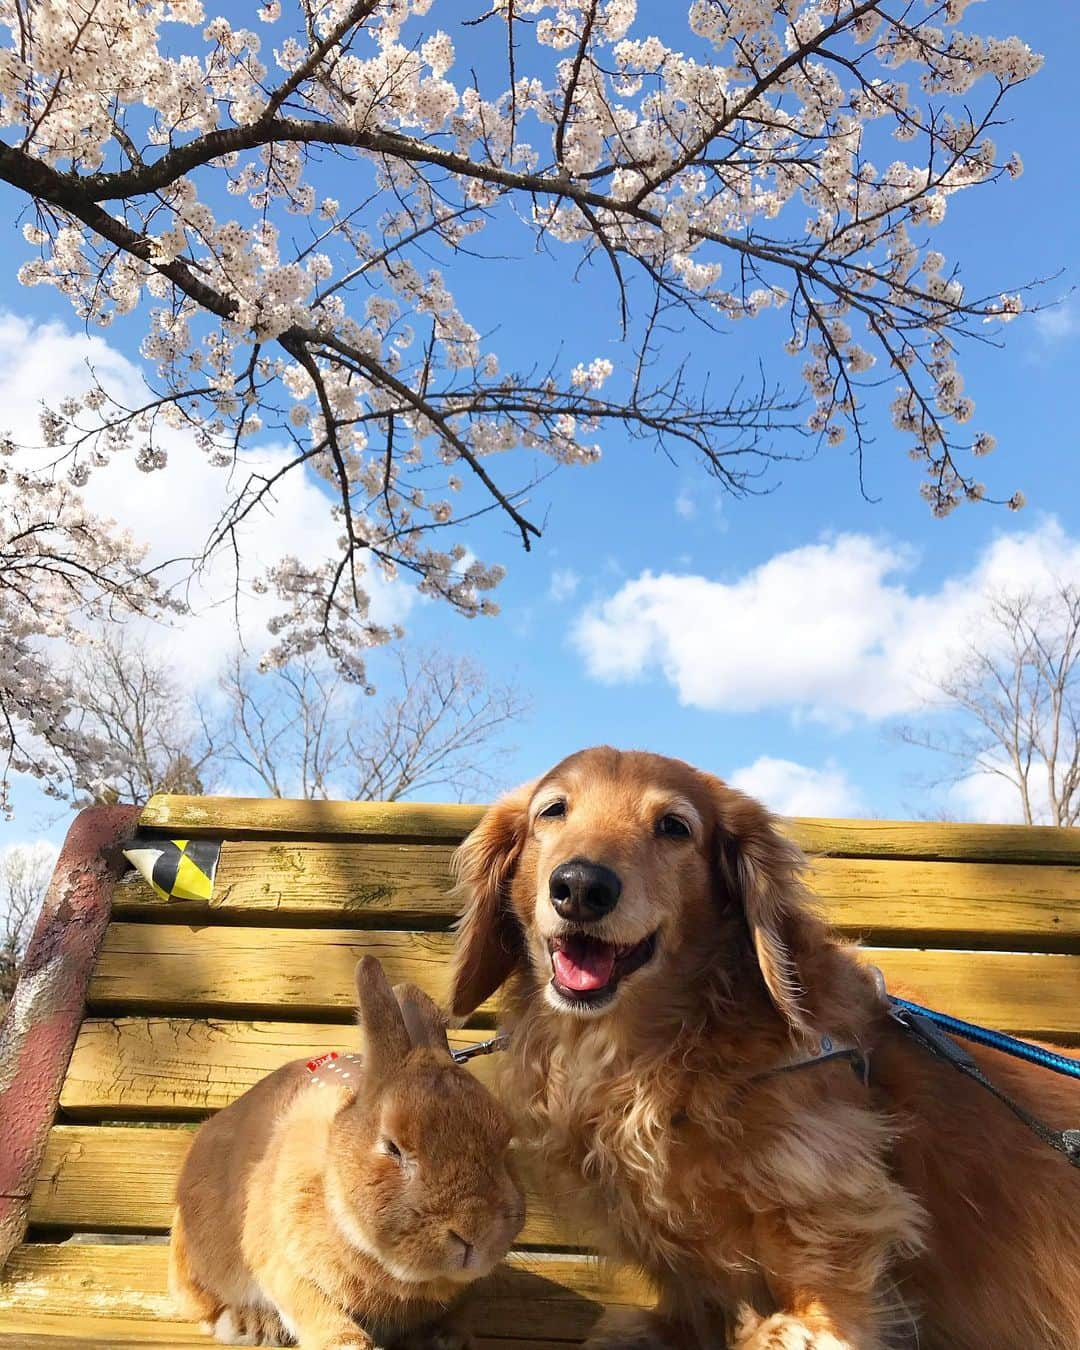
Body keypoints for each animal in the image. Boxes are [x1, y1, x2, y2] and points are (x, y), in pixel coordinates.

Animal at [167, 955, 523, 1344]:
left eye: (504, 1141)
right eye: (392, 1147)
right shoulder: (281, 1255)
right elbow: (315, 1308)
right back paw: (253, 1324)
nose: (474, 1231)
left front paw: (444, 1339)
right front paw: (347, 1342)